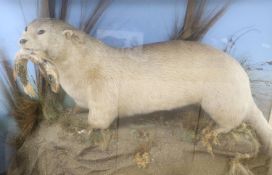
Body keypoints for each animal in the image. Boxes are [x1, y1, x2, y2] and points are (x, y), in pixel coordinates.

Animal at [14, 18, 272, 153]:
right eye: (26, 27)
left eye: (41, 31)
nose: (21, 40)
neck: (79, 75)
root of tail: (245, 84)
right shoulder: (81, 94)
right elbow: (79, 106)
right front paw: (71, 111)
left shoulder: (103, 90)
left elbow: (100, 118)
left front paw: (85, 129)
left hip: (220, 98)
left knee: (233, 120)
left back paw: (213, 130)